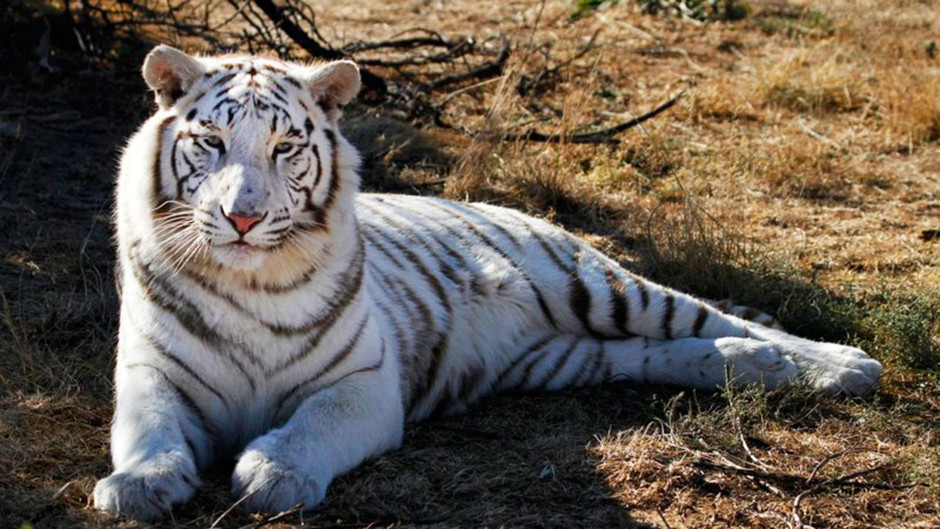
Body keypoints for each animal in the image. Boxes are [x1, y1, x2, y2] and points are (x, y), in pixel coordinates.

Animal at [93, 45, 883, 521]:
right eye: (211, 142)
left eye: (286, 147)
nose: (244, 217)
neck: (250, 280)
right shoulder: (150, 370)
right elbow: (148, 428)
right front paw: (139, 484)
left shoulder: (364, 384)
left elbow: (313, 423)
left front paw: (273, 473)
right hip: (563, 354)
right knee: (660, 352)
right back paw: (757, 366)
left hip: (596, 282)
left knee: (714, 319)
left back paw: (842, 365)